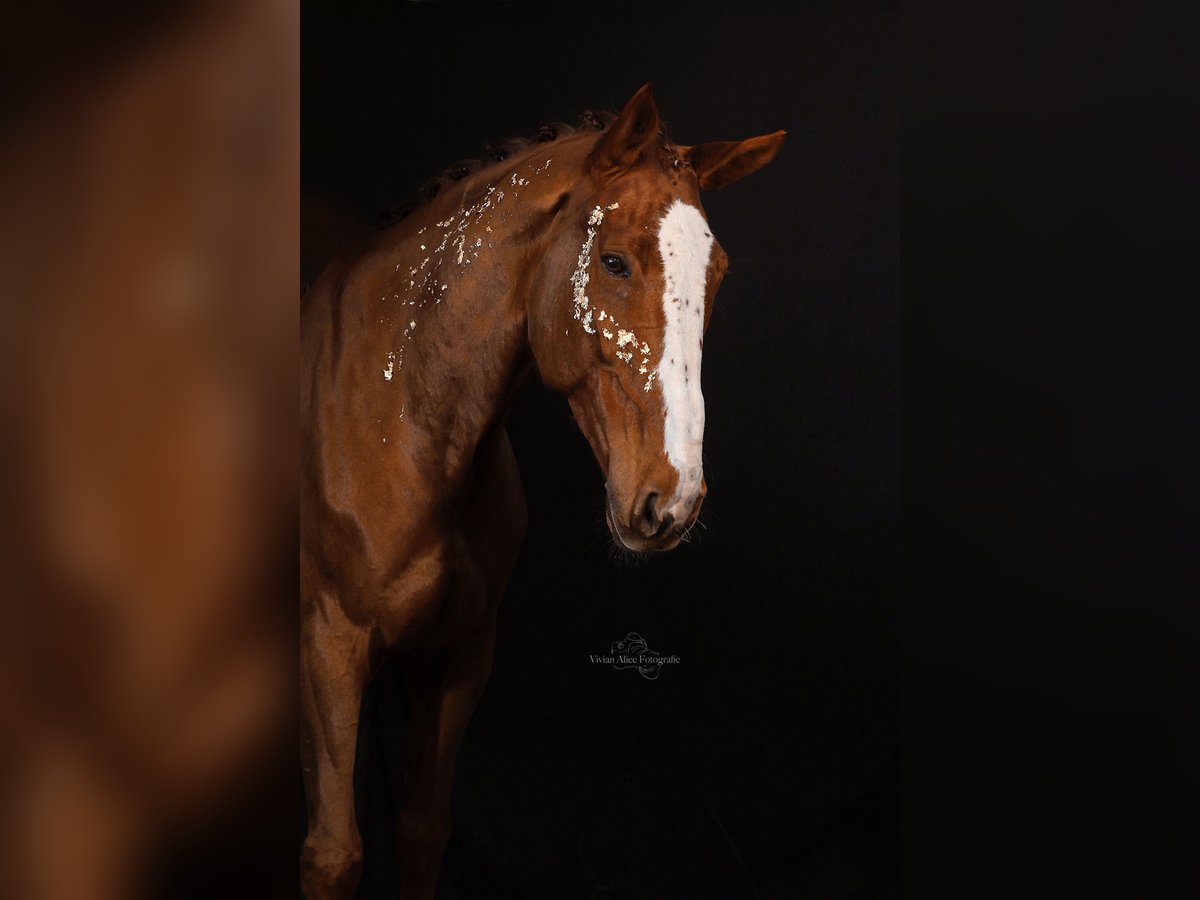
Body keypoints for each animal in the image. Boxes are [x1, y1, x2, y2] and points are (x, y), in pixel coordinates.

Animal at [300, 83, 784, 899]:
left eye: (716, 273)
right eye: (613, 261)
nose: (672, 500)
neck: (406, 415)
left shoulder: (459, 655)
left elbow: (422, 831)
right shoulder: (329, 647)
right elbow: (332, 853)